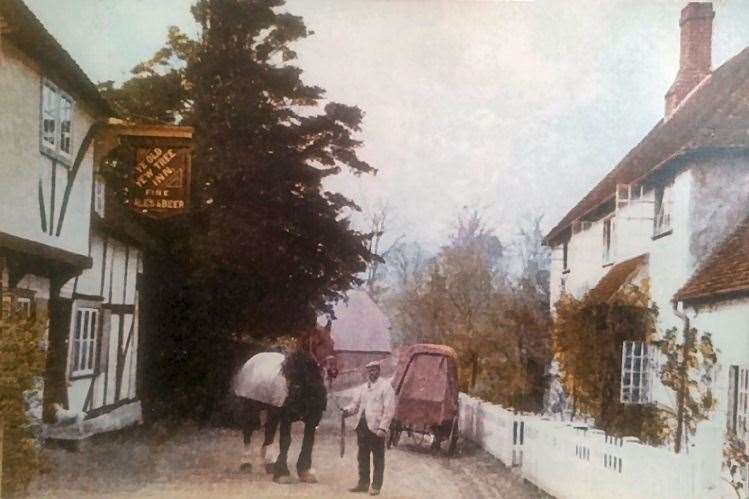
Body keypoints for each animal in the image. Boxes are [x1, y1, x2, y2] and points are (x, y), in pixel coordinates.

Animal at [232, 324, 334, 484]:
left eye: (332, 343)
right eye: (318, 343)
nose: (333, 370)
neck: (299, 381)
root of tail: (253, 359)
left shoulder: (313, 418)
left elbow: (308, 442)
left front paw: (305, 472)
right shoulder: (286, 416)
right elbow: (286, 441)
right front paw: (283, 474)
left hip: (271, 411)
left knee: (269, 432)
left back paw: (269, 464)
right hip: (251, 407)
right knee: (248, 431)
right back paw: (246, 463)